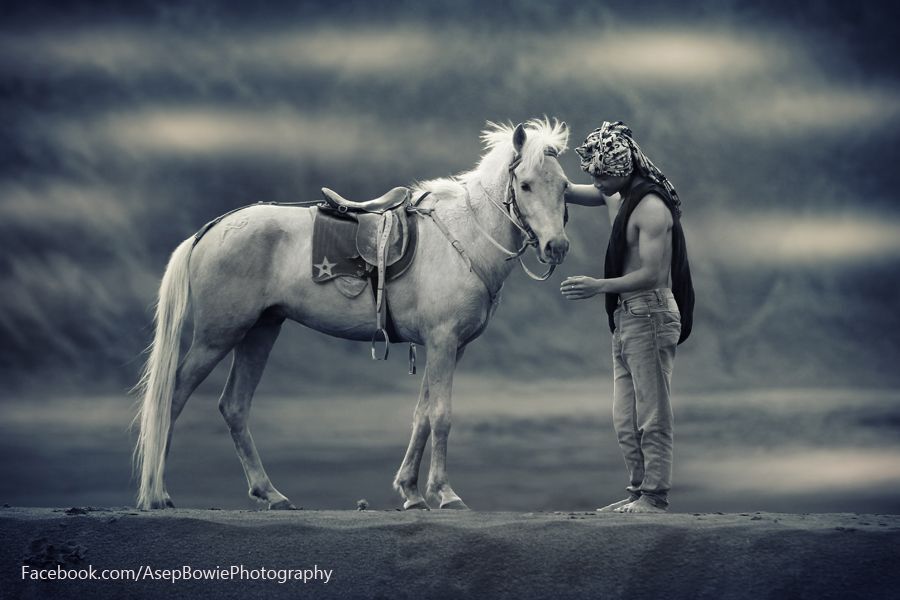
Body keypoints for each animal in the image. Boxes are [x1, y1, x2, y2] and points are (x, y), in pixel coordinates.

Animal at [133, 118, 571, 510]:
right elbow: (441, 415)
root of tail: (211, 229)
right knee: (172, 397)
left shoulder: (445, 347)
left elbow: (422, 414)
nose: (557, 247)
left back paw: (270, 493)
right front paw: (444, 494)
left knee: (234, 406)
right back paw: (157, 493)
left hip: (260, 331)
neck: (465, 234)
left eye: (564, 186)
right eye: (525, 184)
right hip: (218, 336)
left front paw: (411, 491)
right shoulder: (443, 342)